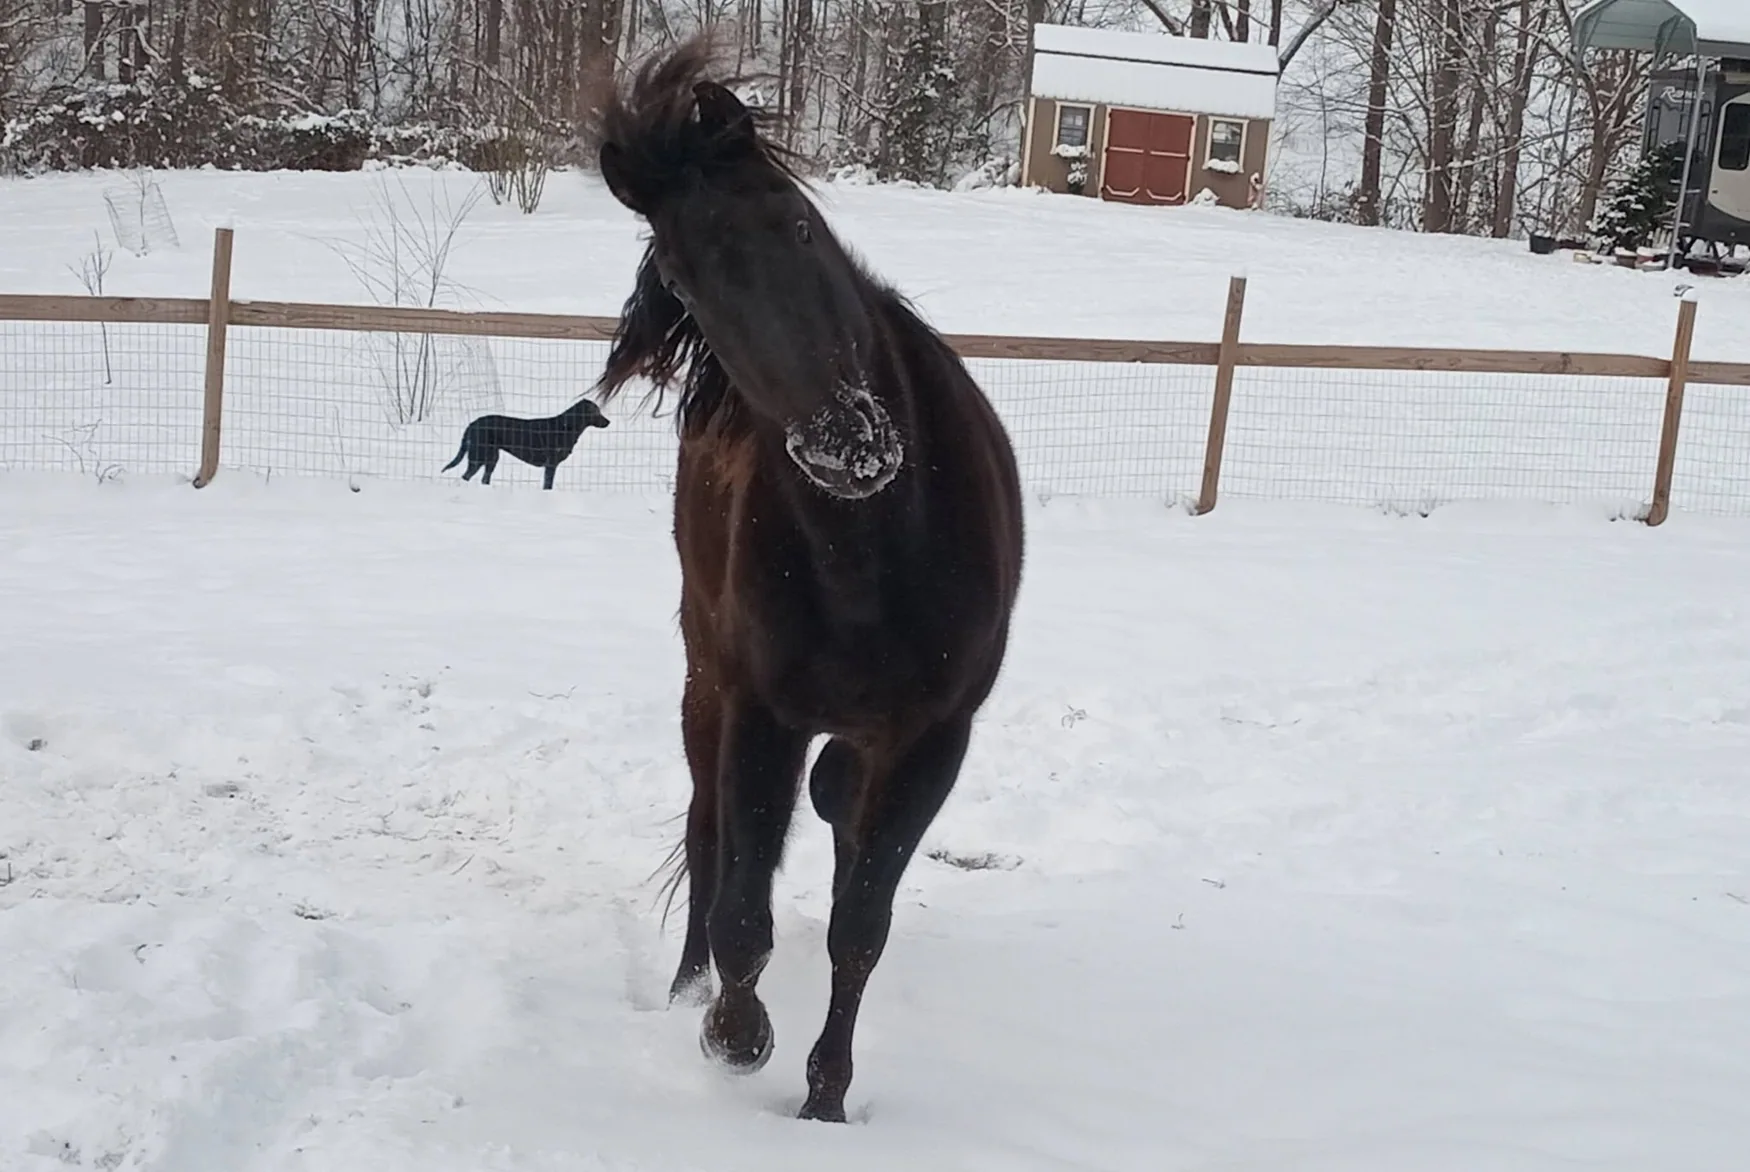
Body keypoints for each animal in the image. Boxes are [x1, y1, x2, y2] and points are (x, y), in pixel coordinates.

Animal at [440, 397, 611, 489]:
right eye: (596, 411)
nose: (608, 422)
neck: (566, 427)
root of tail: (472, 424)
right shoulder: (551, 464)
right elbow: (547, 485)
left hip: (492, 458)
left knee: (483, 479)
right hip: (479, 456)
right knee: (466, 476)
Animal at [588, 39, 1025, 1123]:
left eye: (795, 220)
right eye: (686, 277)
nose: (846, 444)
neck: (873, 552)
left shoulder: (932, 737)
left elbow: (858, 924)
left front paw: (826, 1099)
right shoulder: (761, 713)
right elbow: (744, 905)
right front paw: (733, 1034)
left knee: (833, 821)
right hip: (705, 684)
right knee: (710, 837)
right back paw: (686, 989)